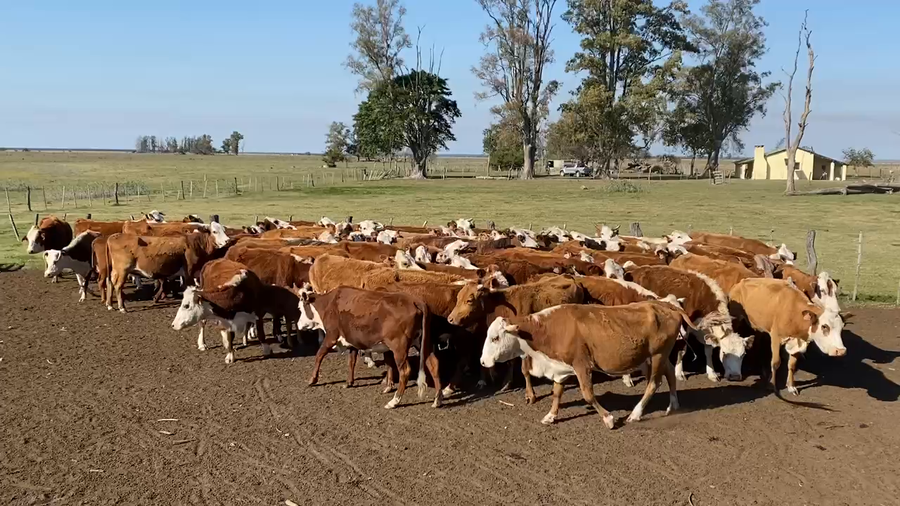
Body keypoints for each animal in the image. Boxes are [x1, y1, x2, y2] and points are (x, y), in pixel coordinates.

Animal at [297, 286, 442, 409]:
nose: (298, 325)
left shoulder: (331, 336)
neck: (328, 304)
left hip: (399, 347)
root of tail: (415, 301)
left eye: (300, 308)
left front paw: (312, 379)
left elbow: (319, 355)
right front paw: (349, 382)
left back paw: (394, 401)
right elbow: (351, 362)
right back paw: (437, 399)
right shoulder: (353, 341)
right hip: (422, 342)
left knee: (405, 371)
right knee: (433, 364)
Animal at [481, 300, 694, 427]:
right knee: (669, 373)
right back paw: (673, 405)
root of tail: (665, 304)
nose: (483, 362)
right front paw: (551, 416)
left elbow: (588, 395)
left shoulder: (582, 365)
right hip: (656, 356)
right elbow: (557, 393)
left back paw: (636, 413)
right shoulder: (561, 368)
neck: (548, 329)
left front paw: (608, 418)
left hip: (657, 355)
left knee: (654, 383)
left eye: (495, 338)